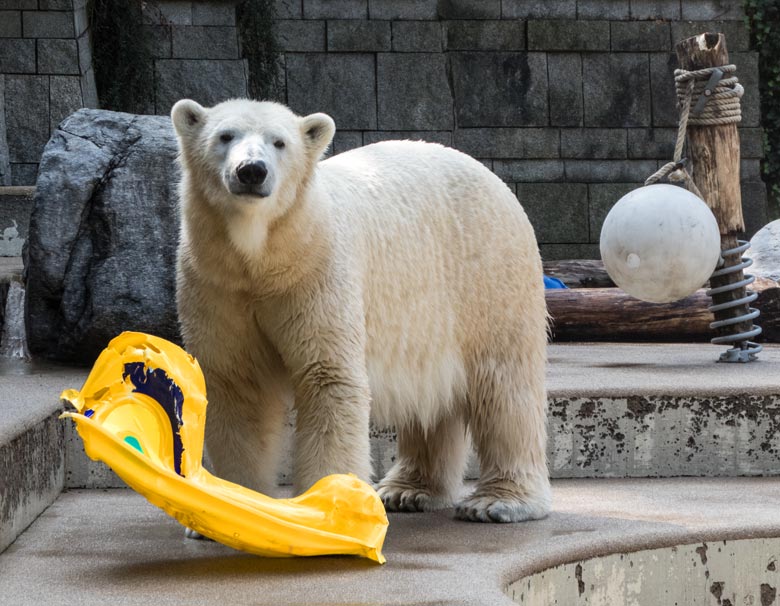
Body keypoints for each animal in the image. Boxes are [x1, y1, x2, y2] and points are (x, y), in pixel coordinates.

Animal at [171, 98, 548, 524]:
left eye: (279, 142)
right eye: (225, 136)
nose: (252, 170)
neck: (263, 259)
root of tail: (492, 177)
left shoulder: (316, 274)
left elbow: (327, 377)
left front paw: (328, 506)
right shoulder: (218, 286)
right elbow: (237, 385)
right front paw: (231, 508)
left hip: (488, 276)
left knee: (503, 385)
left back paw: (498, 501)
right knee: (431, 395)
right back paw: (407, 490)